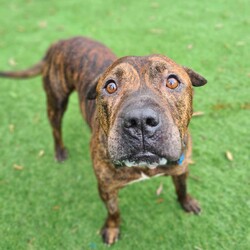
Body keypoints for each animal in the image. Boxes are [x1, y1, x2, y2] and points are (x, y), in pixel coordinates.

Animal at [0, 36, 207, 245]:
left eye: (172, 82)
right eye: (111, 86)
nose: (140, 120)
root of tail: (61, 41)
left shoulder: (181, 168)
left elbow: (182, 187)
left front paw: (187, 202)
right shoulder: (106, 188)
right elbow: (113, 211)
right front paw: (112, 228)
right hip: (56, 101)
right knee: (56, 128)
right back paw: (59, 151)